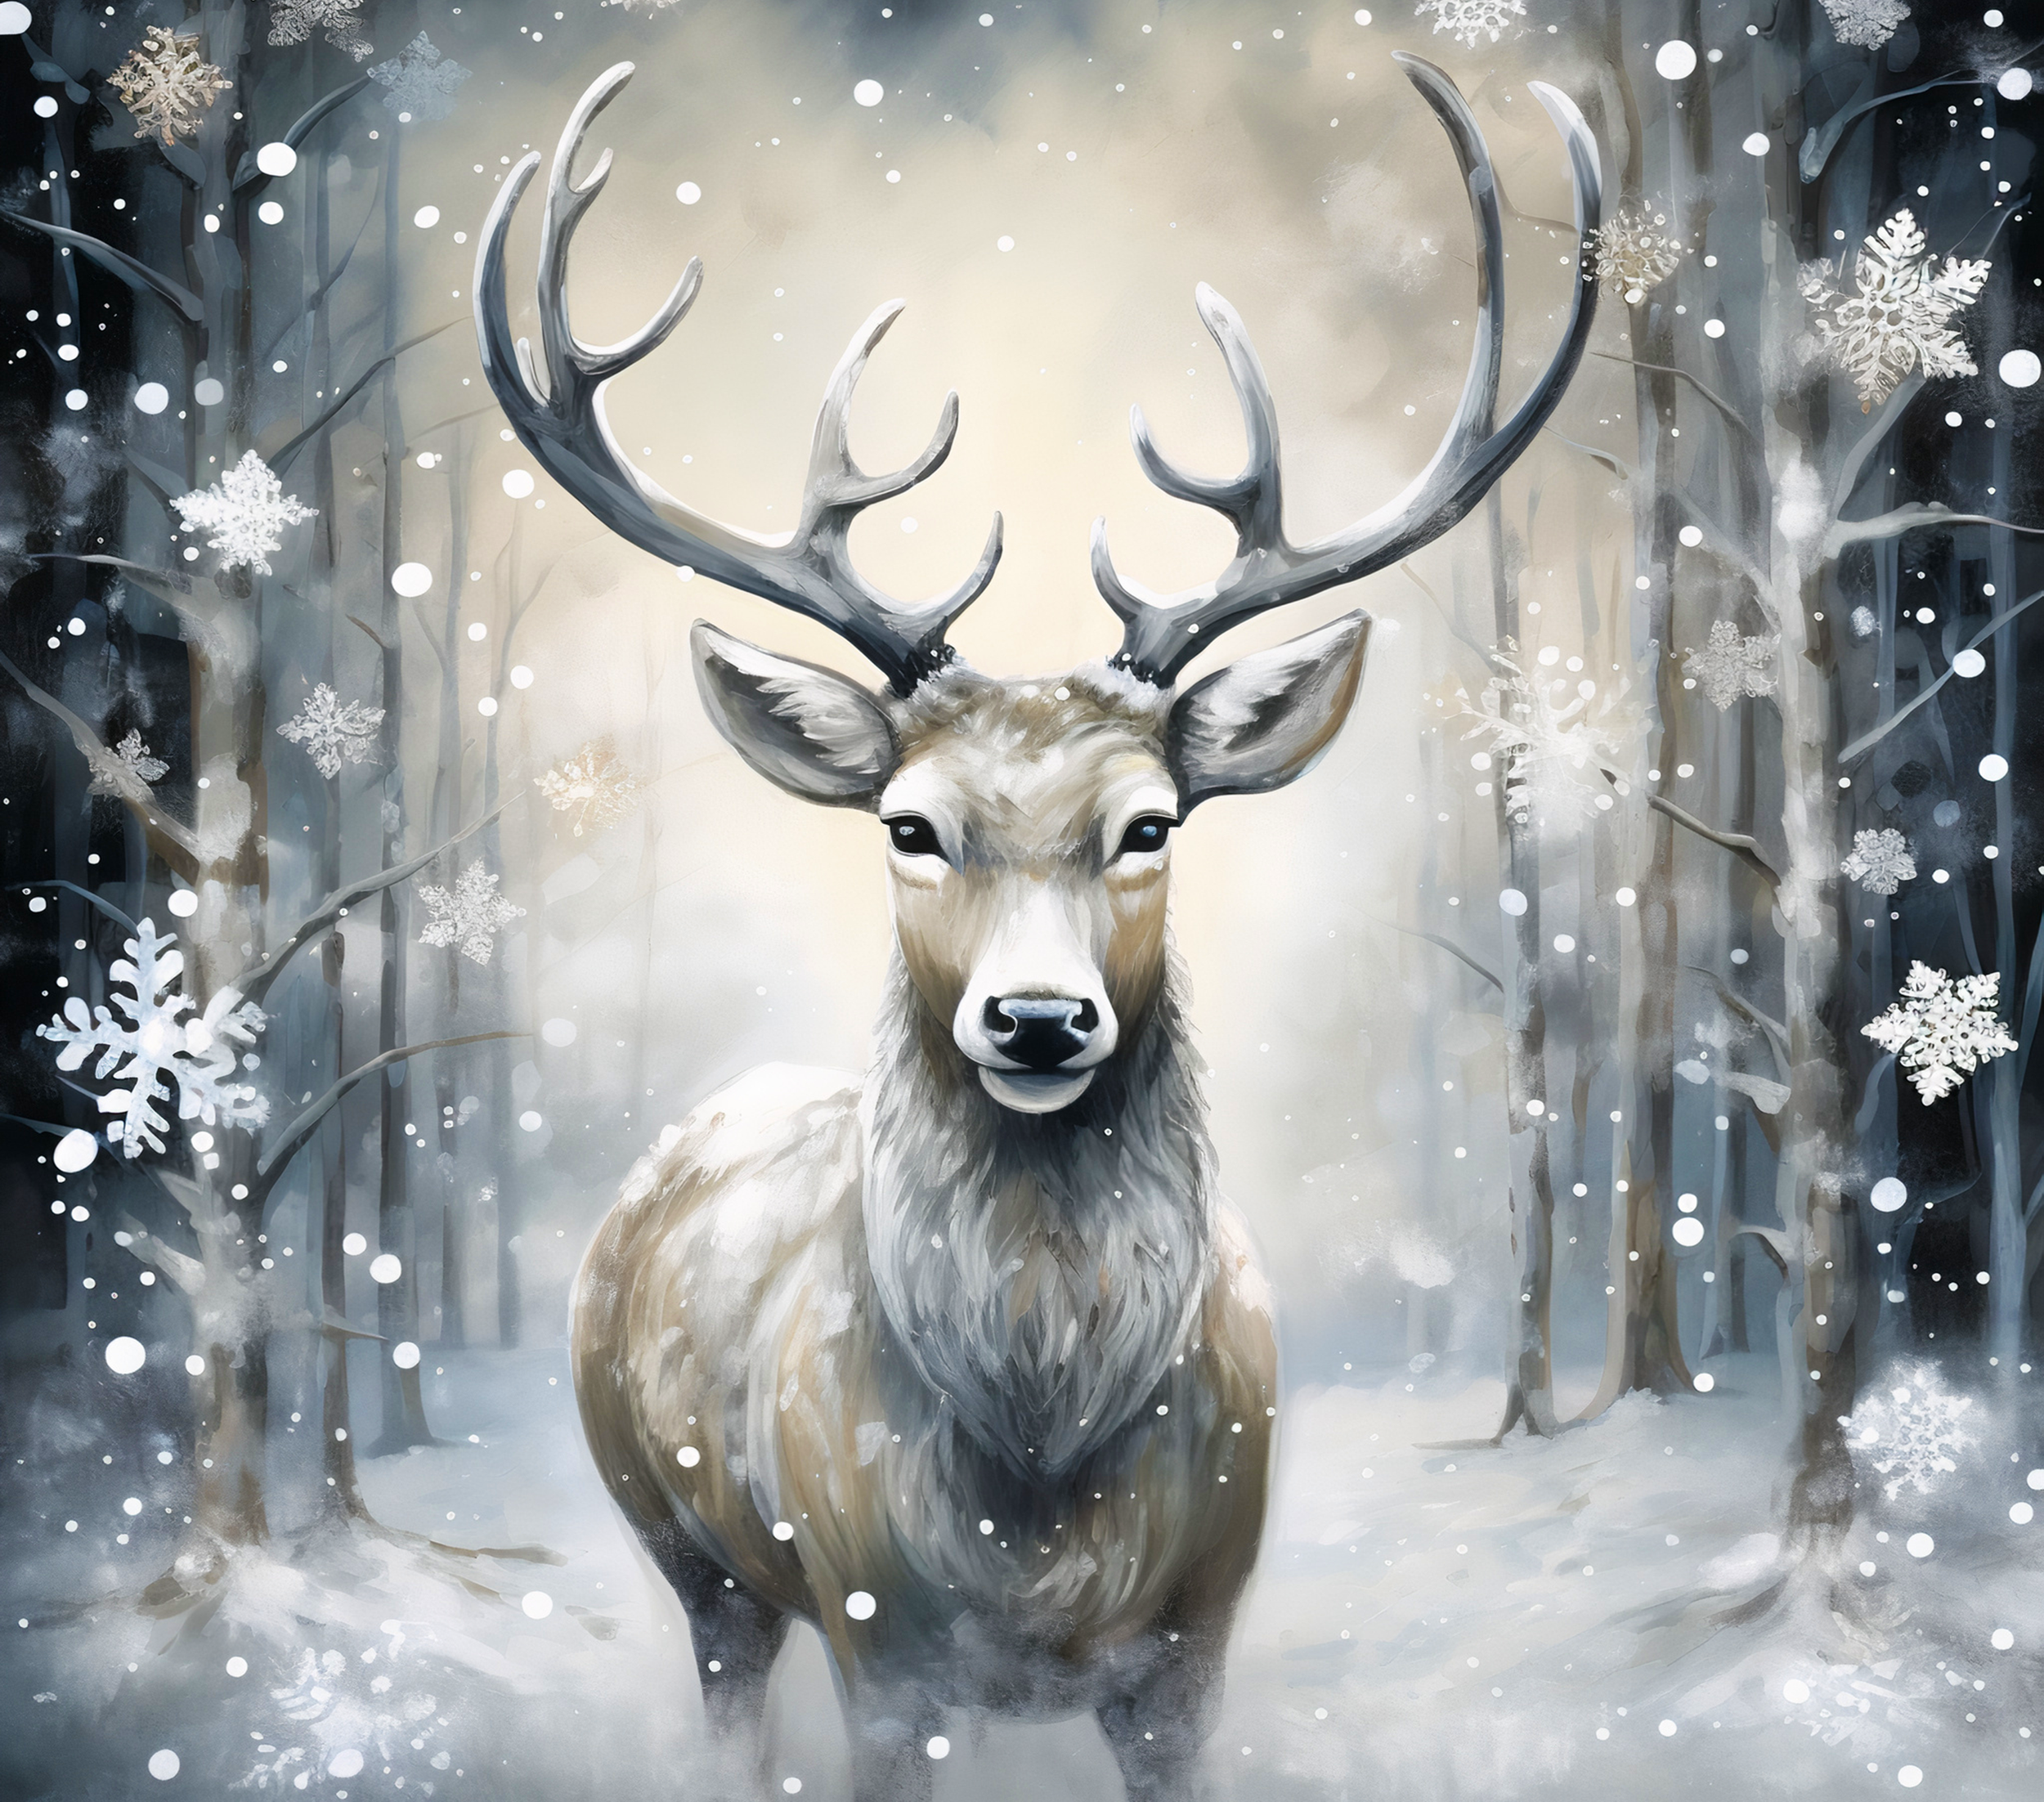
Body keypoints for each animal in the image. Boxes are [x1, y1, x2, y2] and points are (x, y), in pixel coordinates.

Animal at [474, 54, 1597, 1801]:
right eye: (907, 824)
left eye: (1151, 822)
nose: (1040, 1019)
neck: (1044, 1489)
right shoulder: (882, 1650)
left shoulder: (1195, 1646)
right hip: (688, 1545)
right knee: (724, 1681)